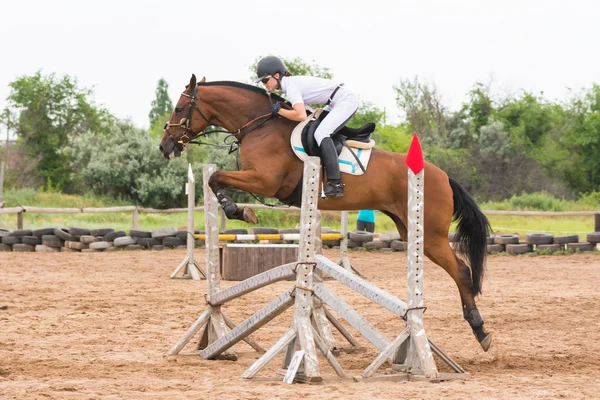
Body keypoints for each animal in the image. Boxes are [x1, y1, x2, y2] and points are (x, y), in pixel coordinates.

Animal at [159, 73, 492, 352]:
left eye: (179, 108)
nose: (165, 146)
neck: (258, 125)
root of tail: (443, 176)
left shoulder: (264, 180)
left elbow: (216, 178)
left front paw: (237, 211)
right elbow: (215, 179)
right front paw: (239, 210)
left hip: (430, 234)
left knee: (461, 271)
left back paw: (480, 331)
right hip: (409, 229)